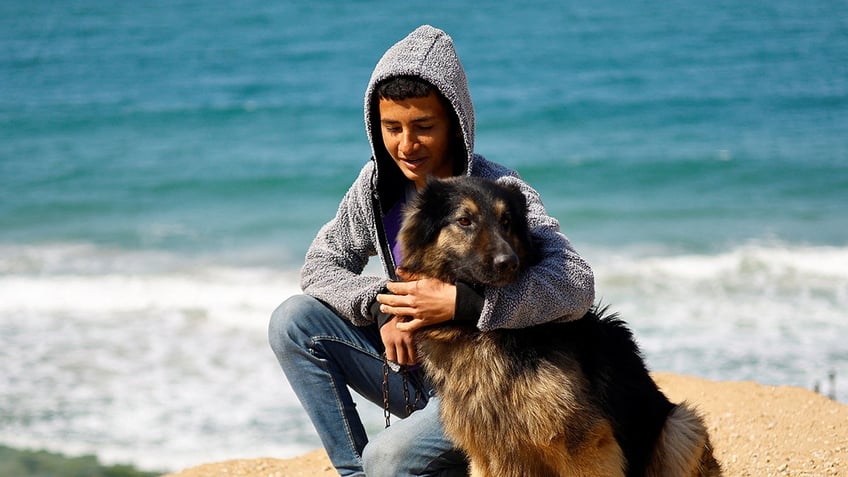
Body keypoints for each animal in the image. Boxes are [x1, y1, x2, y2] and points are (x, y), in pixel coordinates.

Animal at [400, 177, 724, 476]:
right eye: (464, 221)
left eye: (506, 222)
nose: (509, 263)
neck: (481, 332)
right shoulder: (487, 453)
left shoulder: (585, 445)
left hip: (680, 425)